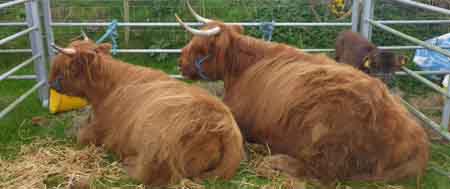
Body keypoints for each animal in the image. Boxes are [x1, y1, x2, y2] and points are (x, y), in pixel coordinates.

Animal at [47, 38, 244, 186]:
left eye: (65, 66)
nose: (50, 82)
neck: (108, 88)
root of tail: (224, 124)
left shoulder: (102, 129)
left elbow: (81, 136)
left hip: (155, 147)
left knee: (148, 175)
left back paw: (127, 163)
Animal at [173, 2, 428, 183]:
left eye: (201, 47)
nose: (180, 62)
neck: (244, 68)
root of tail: (416, 136)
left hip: (325, 134)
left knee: (320, 174)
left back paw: (271, 161)